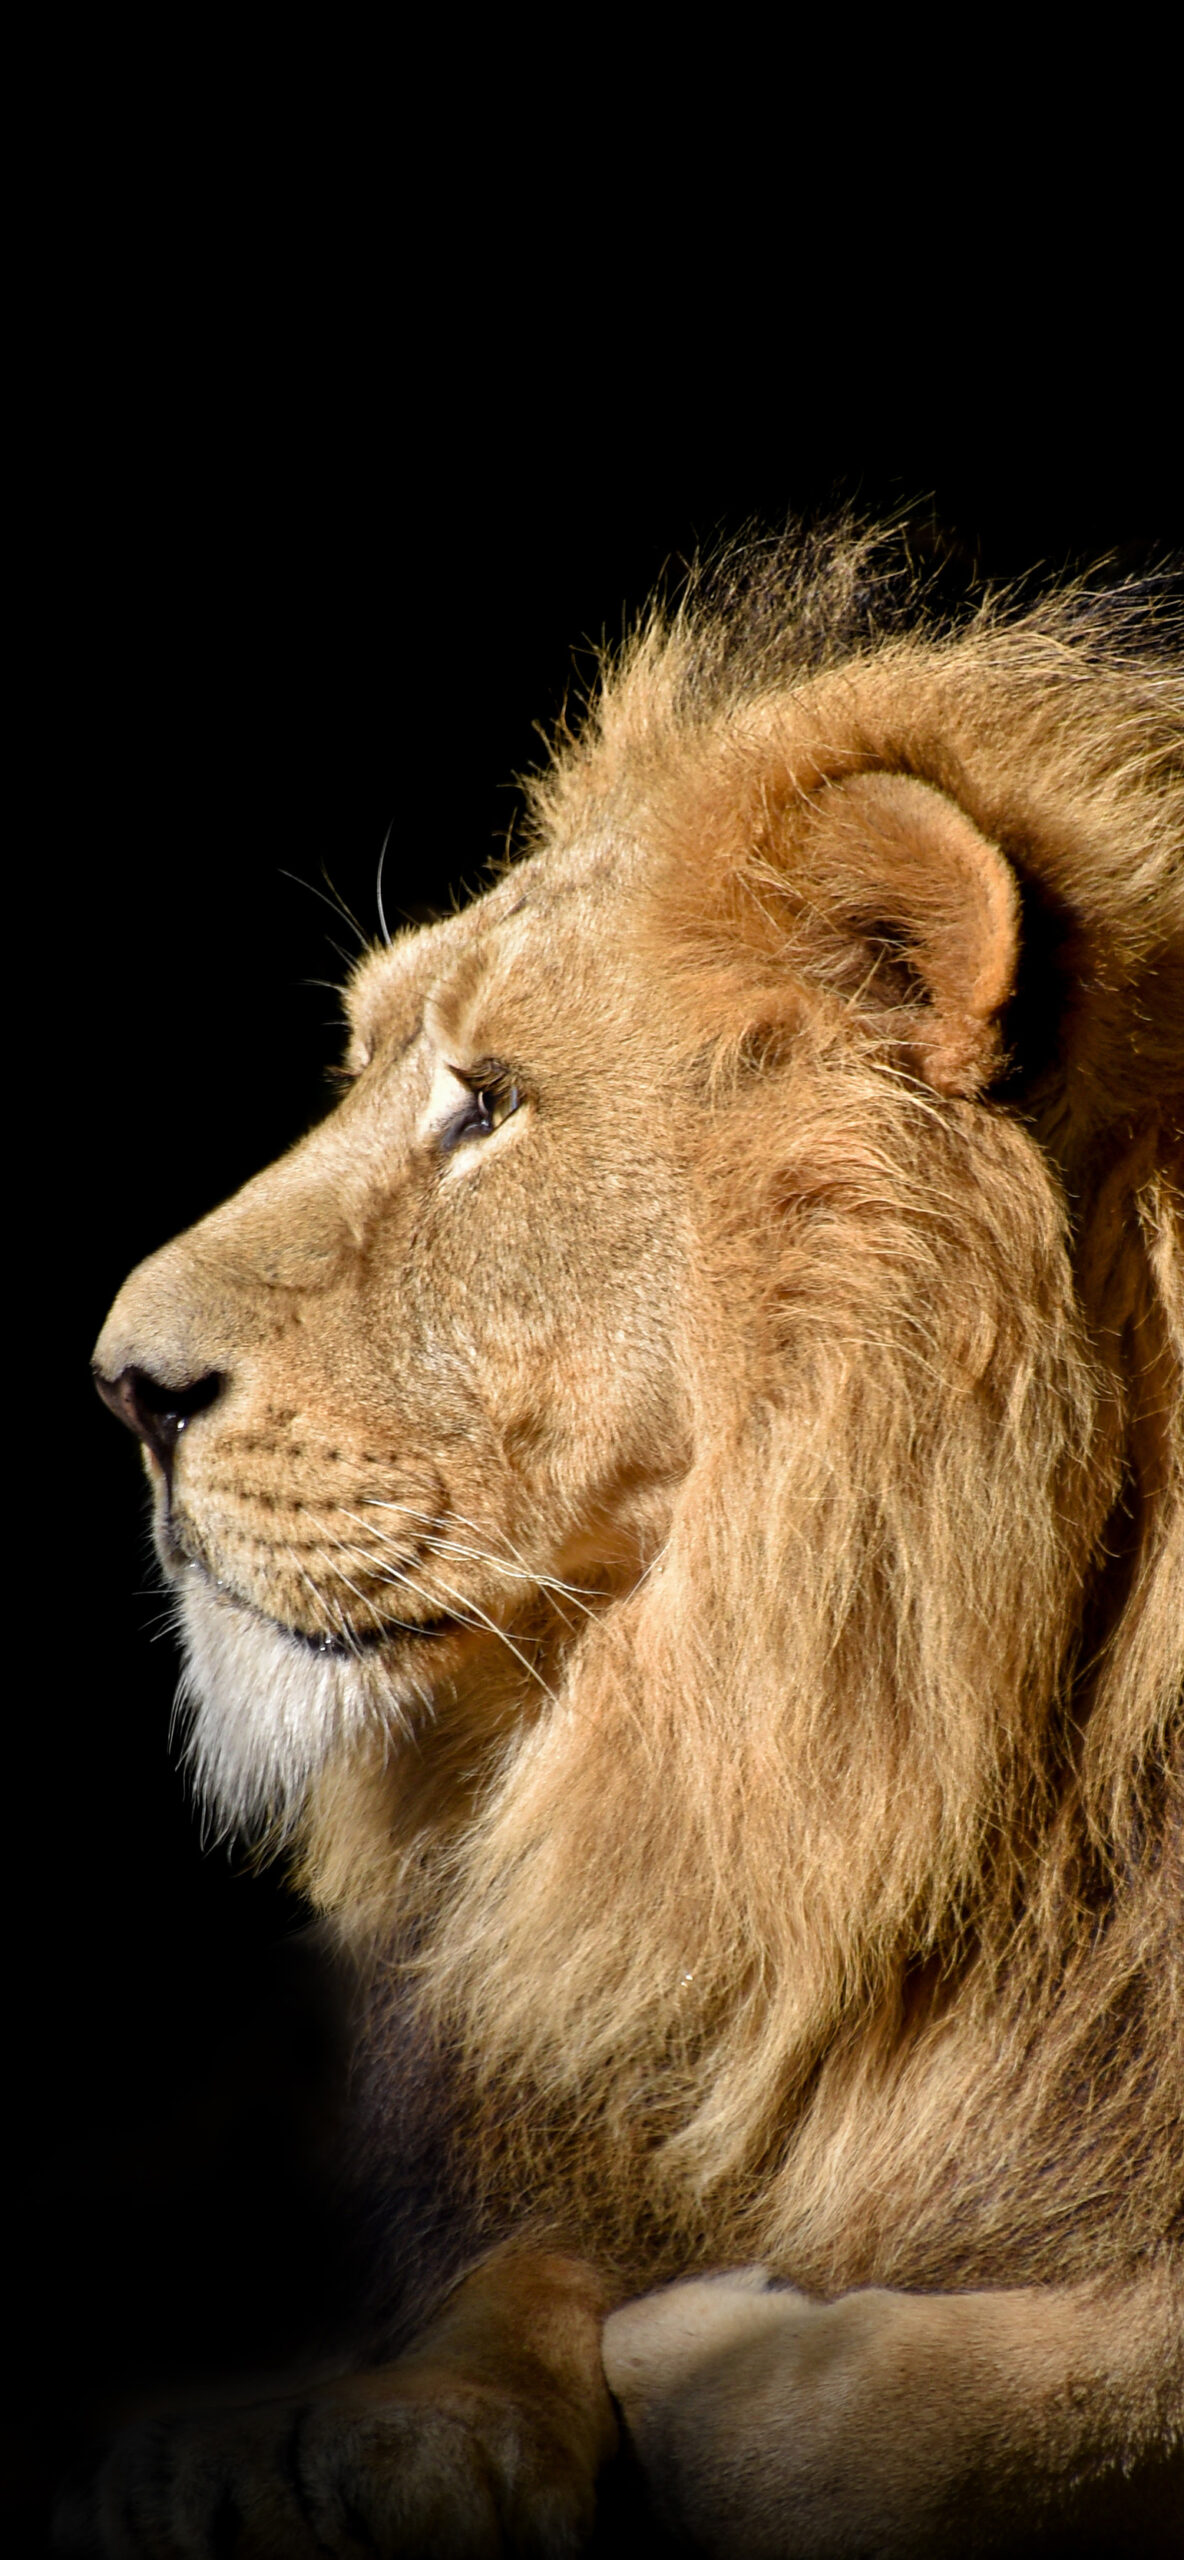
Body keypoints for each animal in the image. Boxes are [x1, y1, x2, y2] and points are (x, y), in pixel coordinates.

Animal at [81, 528, 1182, 2556]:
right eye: (371, 1067)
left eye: (489, 1105)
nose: (123, 1387)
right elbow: (517, 2260)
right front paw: (311, 2435)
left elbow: (888, 2423)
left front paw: (719, 2349)